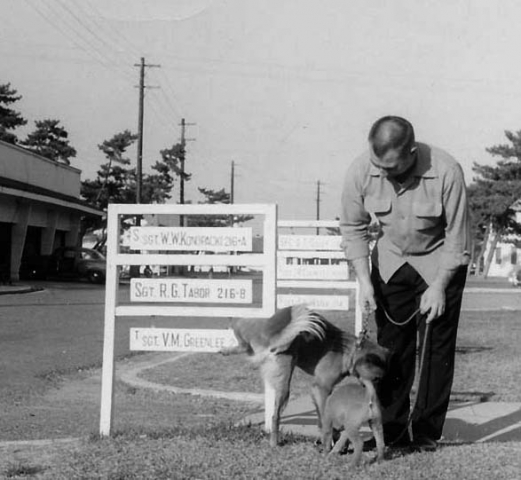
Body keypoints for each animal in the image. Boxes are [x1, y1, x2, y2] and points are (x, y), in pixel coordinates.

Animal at [218, 306, 386, 448]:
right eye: (376, 379)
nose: (375, 394)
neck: (350, 351)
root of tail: (272, 339)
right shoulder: (321, 388)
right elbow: (325, 419)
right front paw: (328, 440)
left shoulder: (320, 392)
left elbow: (321, 418)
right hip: (284, 384)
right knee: (274, 417)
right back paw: (275, 443)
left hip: (248, 328)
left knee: (244, 345)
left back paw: (226, 350)